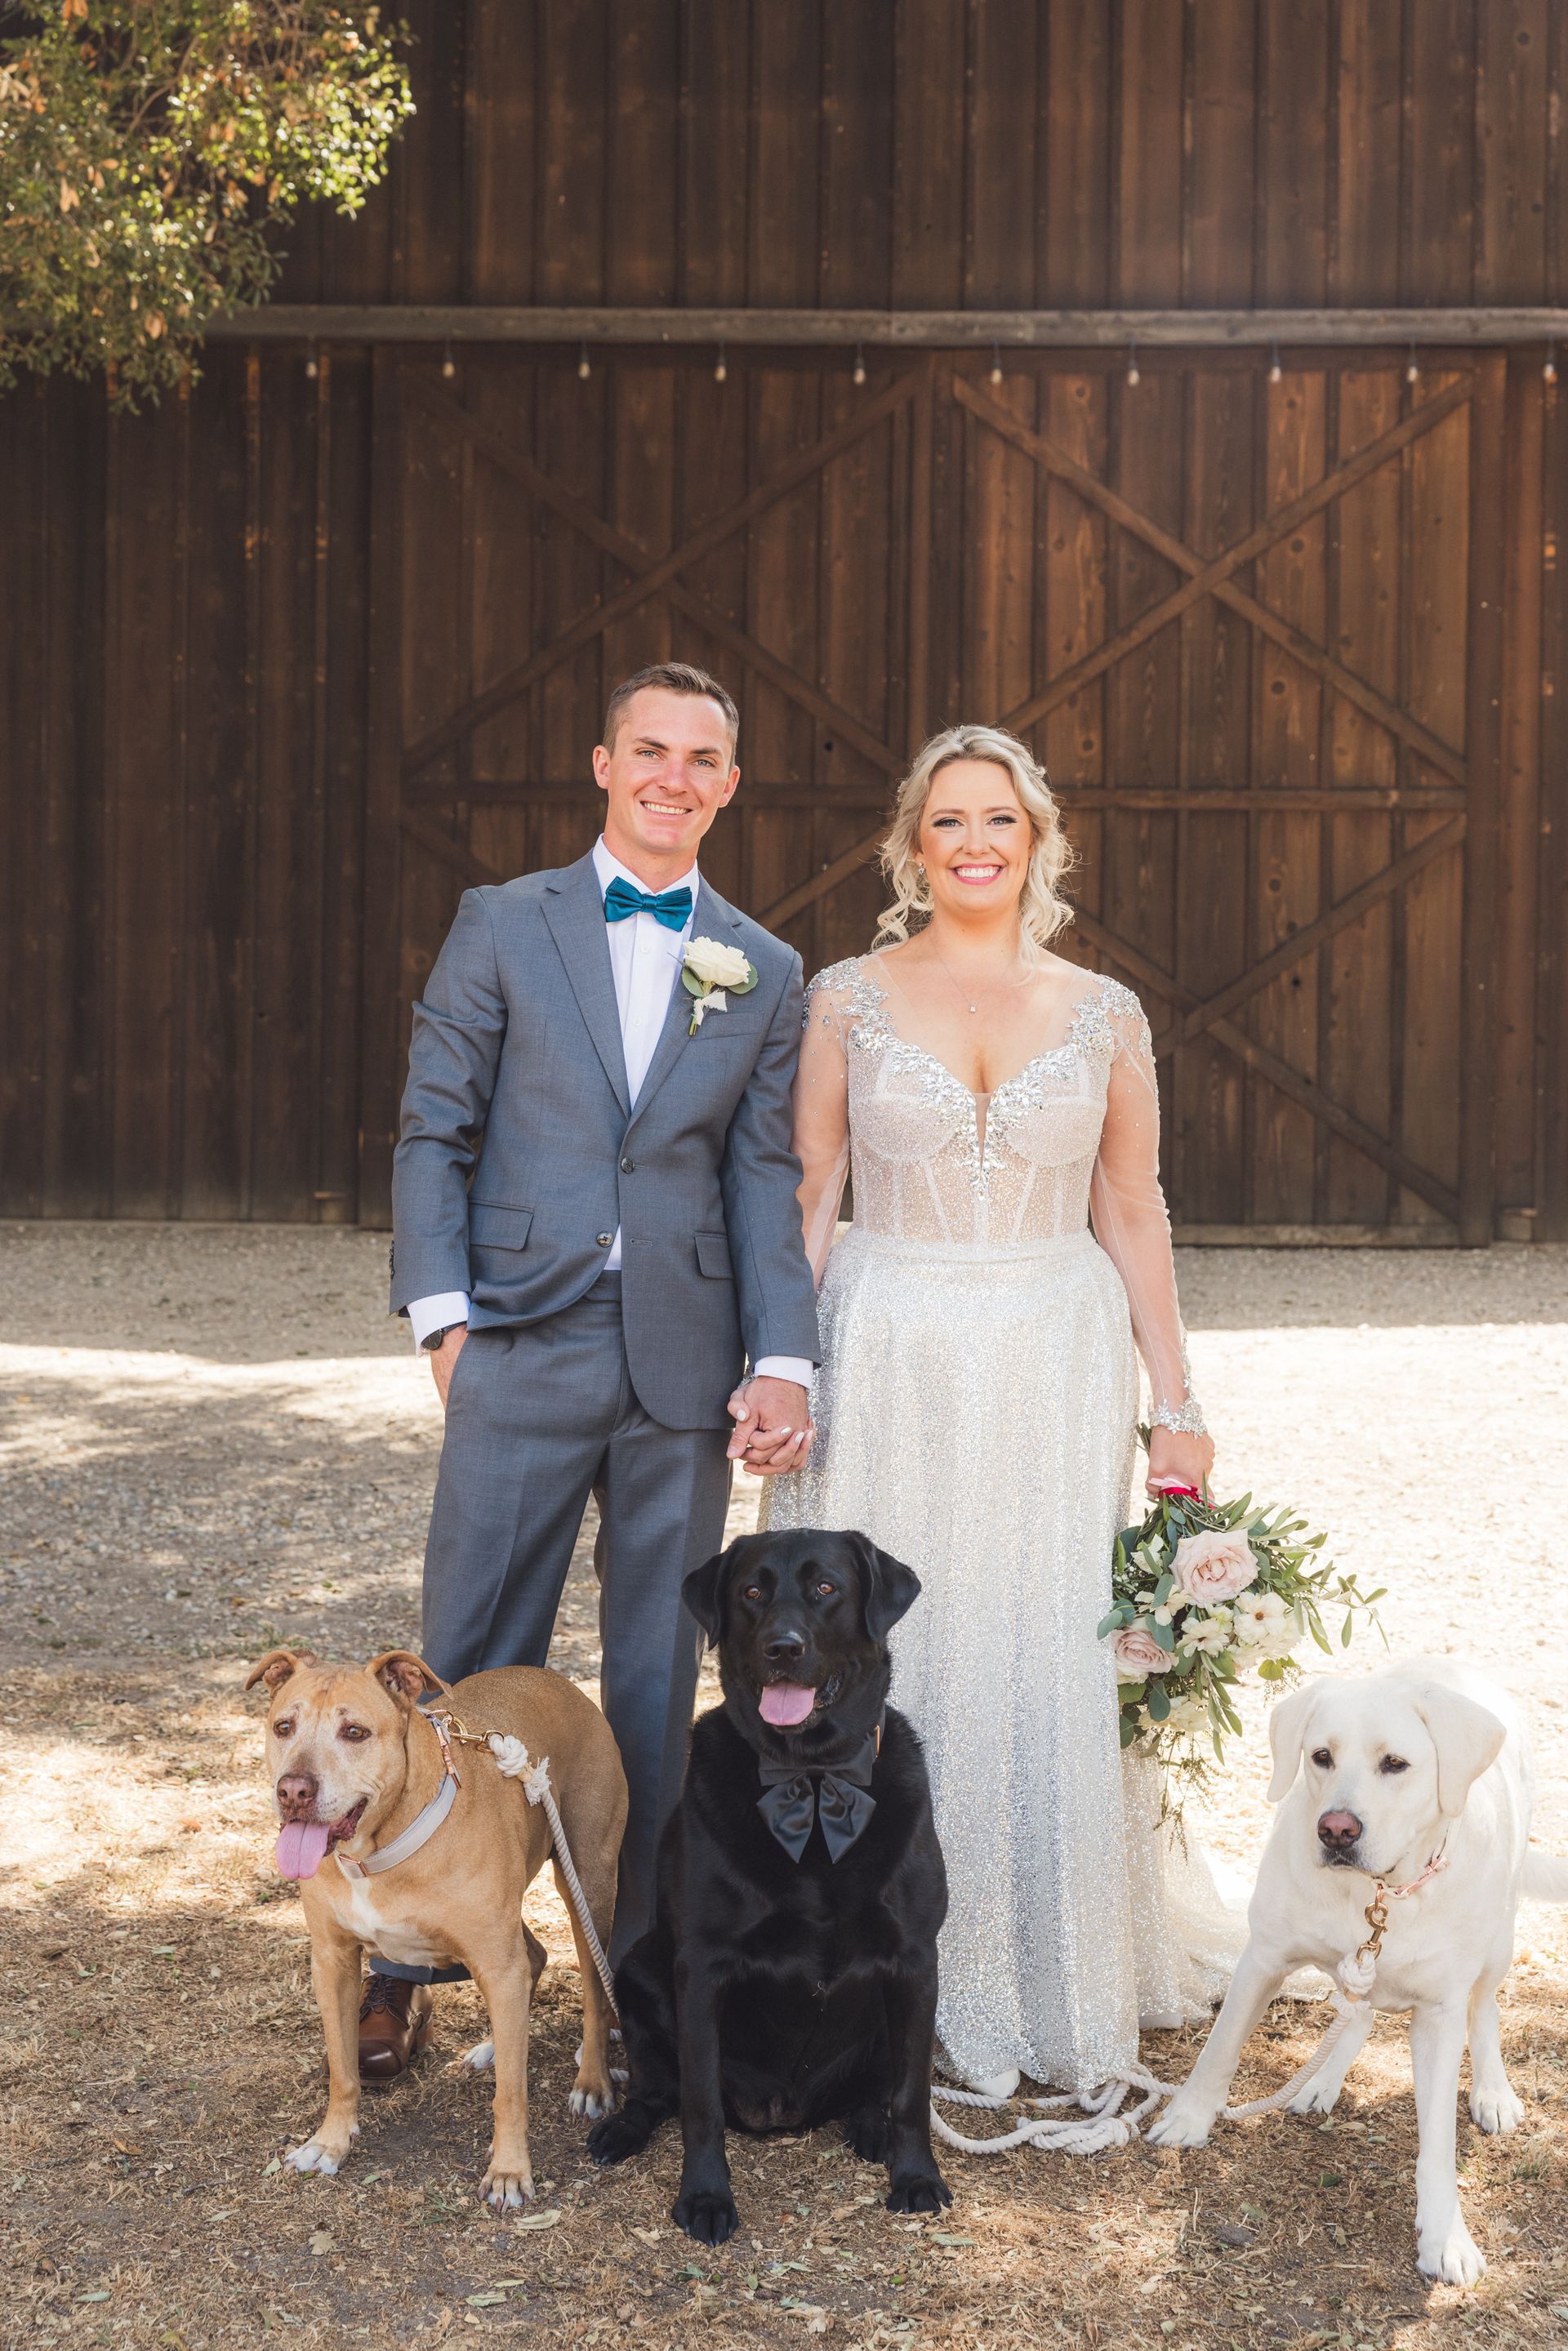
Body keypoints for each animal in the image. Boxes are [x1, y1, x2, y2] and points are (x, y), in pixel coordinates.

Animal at [247, 1648, 627, 2207]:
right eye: (283, 1727)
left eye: (355, 1732)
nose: (293, 1790)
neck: (376, 1850)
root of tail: (557, 1681)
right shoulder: (333, 1962)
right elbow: (343, 2069)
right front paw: (330, 2143)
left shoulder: (498, 1961)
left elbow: (511, 2095)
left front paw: (509, 2171)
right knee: (533, 1960)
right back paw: (494, 2046)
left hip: (587, 1884)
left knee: (595, 1991)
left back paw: (593, 2080)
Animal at [587, 1528, 951, 2244]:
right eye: (752, 1591)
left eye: (826, 1587)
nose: (783, 1647)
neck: (809, 1779)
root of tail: (780, 2112)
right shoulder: (701, 1966)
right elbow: (700, 2102)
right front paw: (704, 2196)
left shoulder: (916, 1960)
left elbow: (912, 2092)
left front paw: (916, 2176)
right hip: (639, 1972)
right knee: (657, 2092)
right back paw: (621, 2129)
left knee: (876, 2091)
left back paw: (871, 2130)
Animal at [1148, 1659, 1568, 2285]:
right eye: (1321, 1755)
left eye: (1395, 1763)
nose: (1336, 1830)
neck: (1380, 1894)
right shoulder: (1264, 1956)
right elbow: (1218, 2050)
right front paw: (1188, 2118)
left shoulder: (1439, 2013)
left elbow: (1438, 2144)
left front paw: (1445, 2237)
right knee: (1359, 2014)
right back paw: (1322, 2079)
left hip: (1498, 1940)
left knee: (1485, 2010)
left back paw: (1493, 2091)